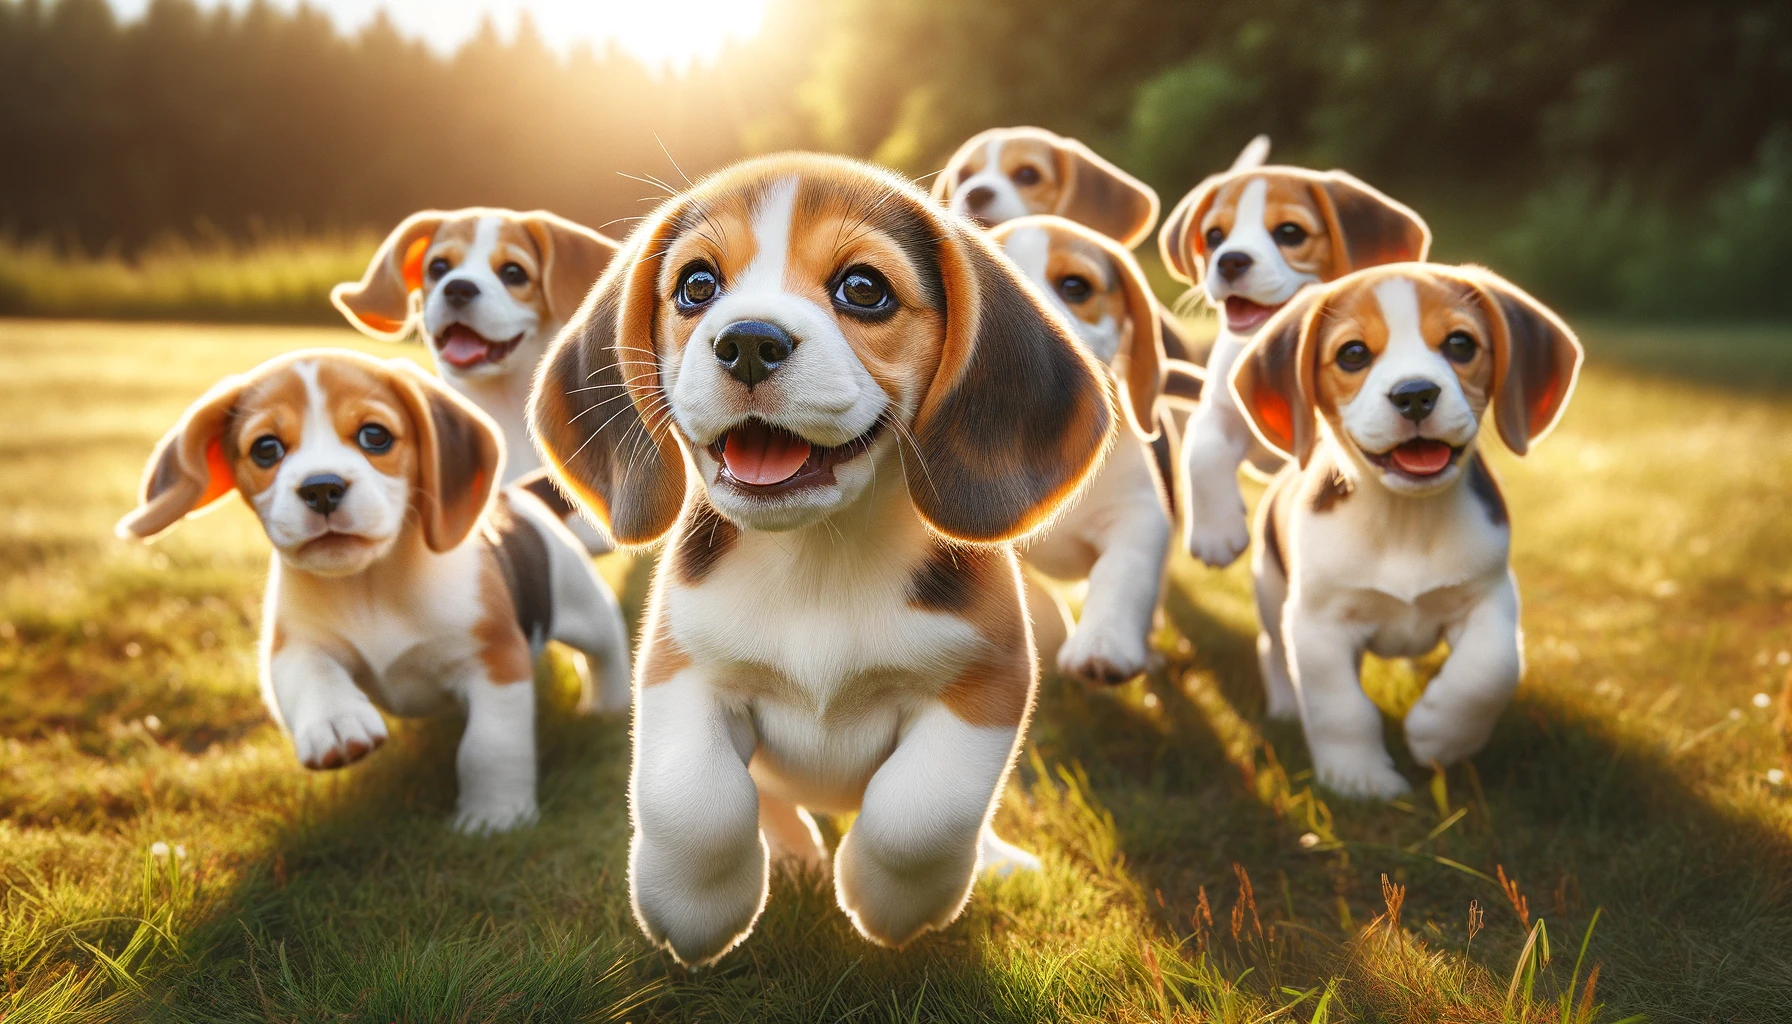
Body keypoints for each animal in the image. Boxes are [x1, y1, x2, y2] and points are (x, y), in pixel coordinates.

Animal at [115, 353, 634, 832]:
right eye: (266, 449)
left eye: (374, 436)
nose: (321, 488)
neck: (368, 583)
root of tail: (518, 496)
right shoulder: (291, 646)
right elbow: (312, 674)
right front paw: (336, 723)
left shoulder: (496, 659)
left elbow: (489, 745)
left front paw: (494, 816)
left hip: (581, 602)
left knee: (606, 648)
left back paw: (607, 705)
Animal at [530, 156, 1111, 968]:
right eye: (696, 286)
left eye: (863, 289)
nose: (747, 340)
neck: (818, 558)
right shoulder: (682, 668)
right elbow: (696, 802)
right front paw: (693, 913)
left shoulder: (989, 680)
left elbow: (921, 810)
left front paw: (891, 903)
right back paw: (793, 851)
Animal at [1161, 150, 1426, 570]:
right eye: (1214, 237)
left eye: (1290, 233)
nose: (1229, 260)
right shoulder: (1221, 407)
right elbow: (1201, 452)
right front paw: (1214, 533)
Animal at [1232, 263, 1584, 799]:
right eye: (1353, 353)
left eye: (1460, 344)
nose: (1415, 394)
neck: (1405, 519)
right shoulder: (1318, 620)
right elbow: (1340, 706)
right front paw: (1358, 777)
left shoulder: (1491, 596)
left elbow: (1491, 669)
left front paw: (1440, 736)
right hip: (1272, 591)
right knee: (1271, 647)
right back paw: (1286, 705)